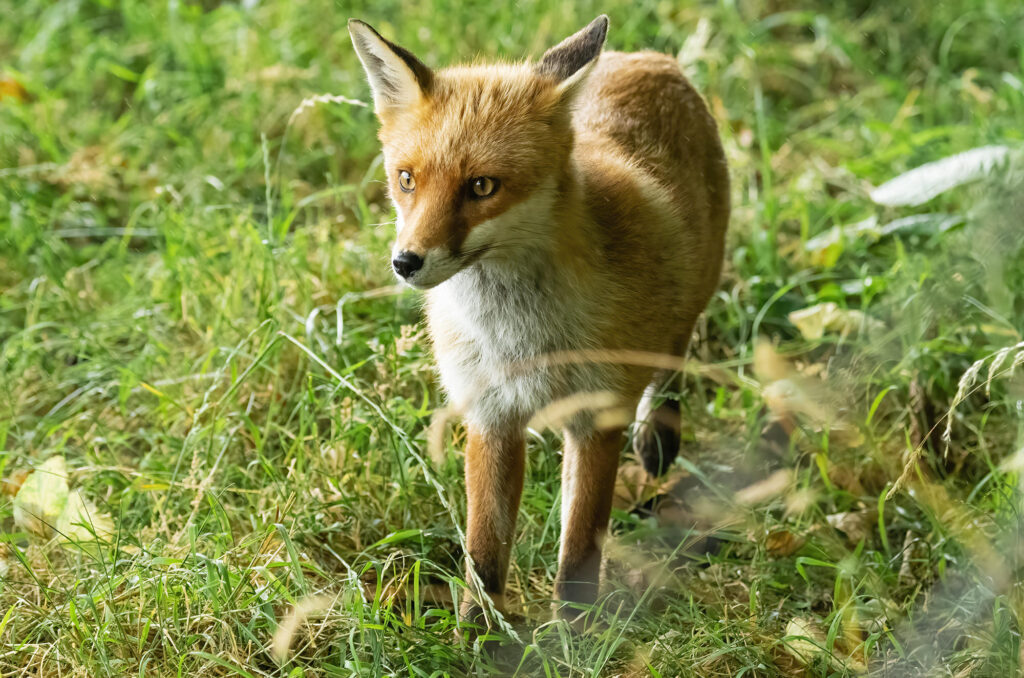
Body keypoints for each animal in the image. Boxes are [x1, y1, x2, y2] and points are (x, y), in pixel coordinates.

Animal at [352, 15, 729, 630]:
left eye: (481, 186)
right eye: (406, 179)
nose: (405, 262)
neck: (521, 340)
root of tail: (650, 57)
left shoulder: (598, 413)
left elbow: (579, 548)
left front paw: (571, 635)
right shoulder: (490, 413)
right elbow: (484, 552)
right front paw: (478, 635)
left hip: (694, 287)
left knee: (673, 352)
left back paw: (658, 431)